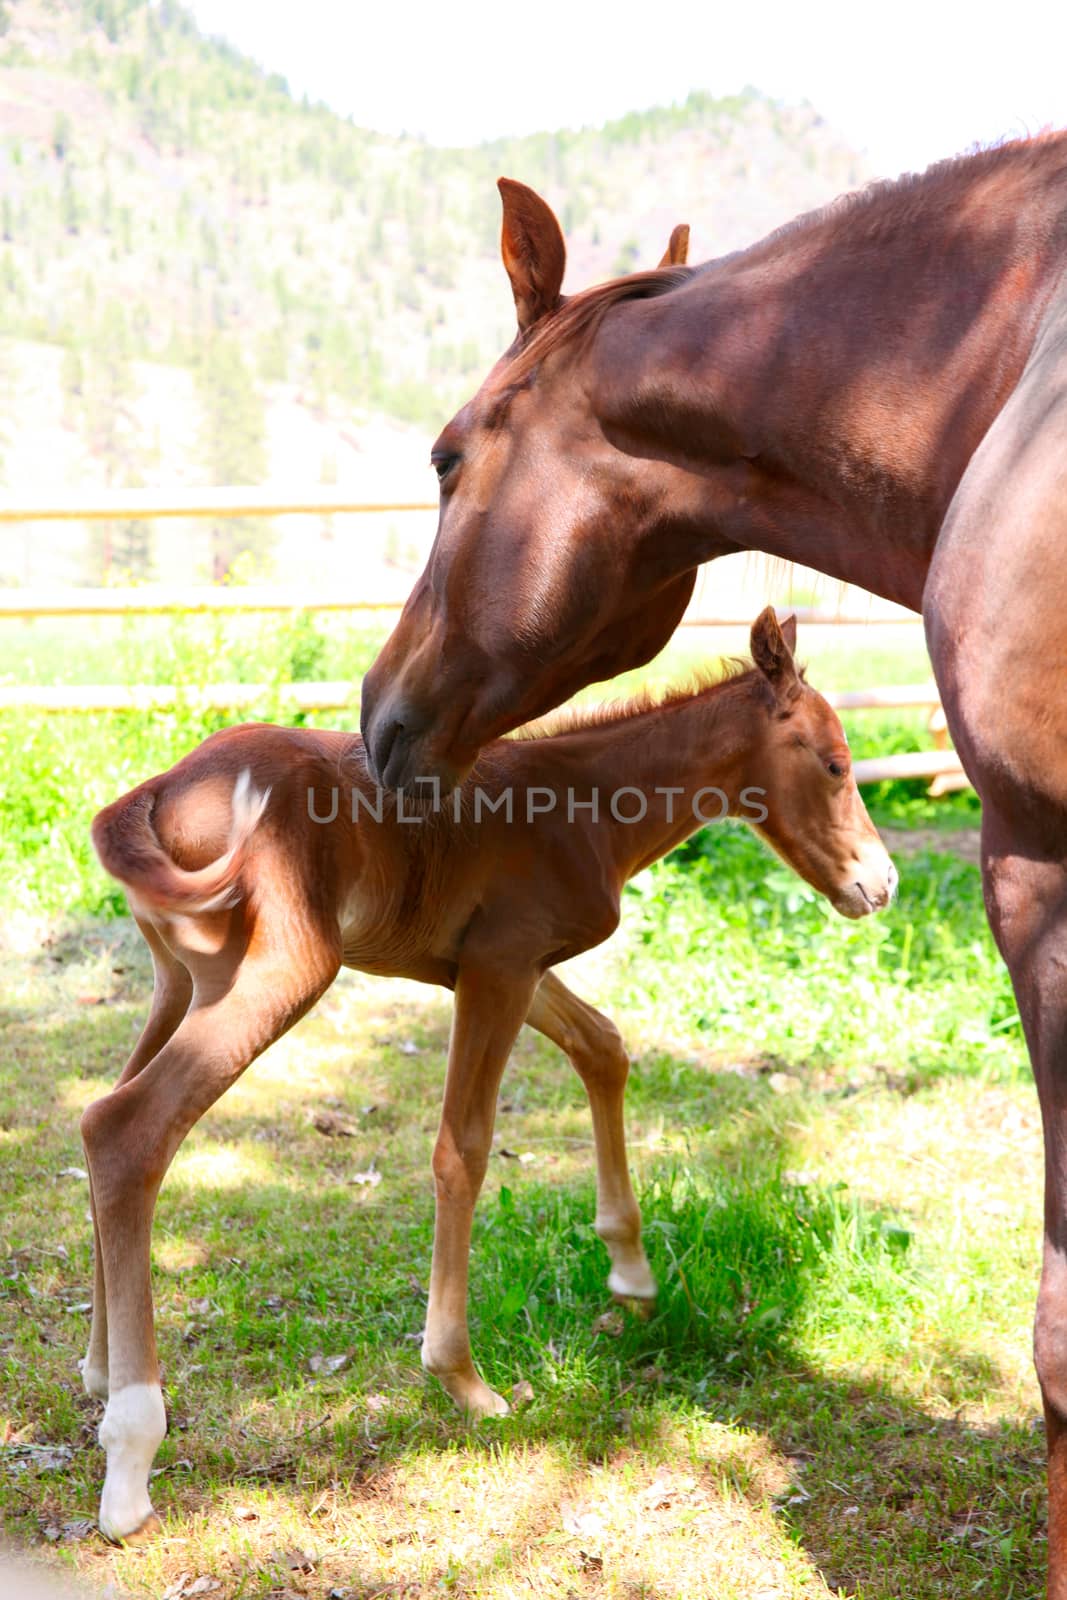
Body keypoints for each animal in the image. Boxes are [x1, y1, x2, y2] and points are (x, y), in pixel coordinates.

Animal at [81, 611, 895, 1536]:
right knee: (132, 1130)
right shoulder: (498, 966)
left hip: (180, 981)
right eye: (832, 763)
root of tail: (157, 790)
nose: (880, 884)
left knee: (100, 1117)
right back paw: (132, 1457)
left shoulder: (506, 966)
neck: (582, 803)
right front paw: (462, 1378)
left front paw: (630, 1271)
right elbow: (462, 1149)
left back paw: (100, 1371)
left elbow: (603, 1046)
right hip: (279, 973)